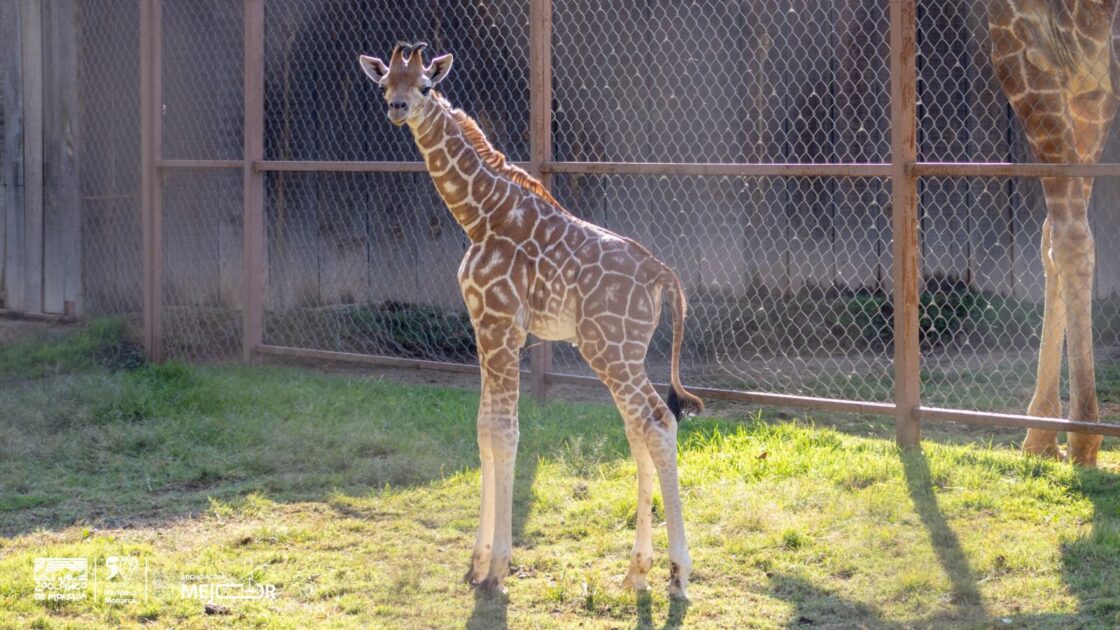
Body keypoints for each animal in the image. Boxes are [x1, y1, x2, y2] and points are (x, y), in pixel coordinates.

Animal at [358, 43, 704, 598]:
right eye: (386, 83)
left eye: (426, 86)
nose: (397, 108)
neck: (479, 215)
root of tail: (662, 275)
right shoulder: (483, 326)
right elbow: (483, 429)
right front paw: (476, 562)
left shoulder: (501, 325)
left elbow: (505, 432)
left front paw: (497, 569)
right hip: (625, 352)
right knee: (640, 427)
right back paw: (636, 572)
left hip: (609, 348)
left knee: (657, 421)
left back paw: (677, 574)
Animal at [988, 0, 1118, 467]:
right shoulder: (1091, 86)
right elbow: (1052, 236)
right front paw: (1044, 434)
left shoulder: (1026, 48)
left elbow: (1067, 239)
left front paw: (1075, 436)